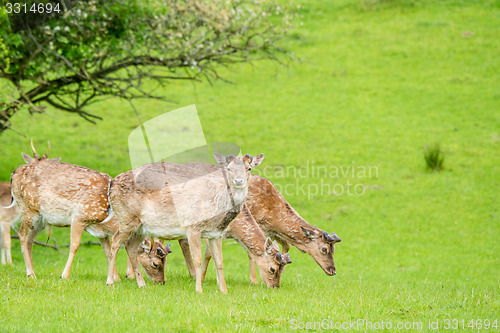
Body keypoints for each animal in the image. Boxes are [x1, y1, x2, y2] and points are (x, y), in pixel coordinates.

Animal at [9, 140, 170, 280]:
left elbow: (108, 252)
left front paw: (116, 279)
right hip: (27, 208)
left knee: (30, 239)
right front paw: (64, 275)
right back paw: (31, 274)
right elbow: (74, 246)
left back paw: (31, 272)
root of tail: (14, 173)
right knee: (22, 234)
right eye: (155, 263)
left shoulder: (101, 232)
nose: (161, 281)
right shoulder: (80, 216)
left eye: (166, 262)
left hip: (41, 219)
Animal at [106, 152, 266, 292]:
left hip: (141, 227)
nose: (238, 180)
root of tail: (112, 184)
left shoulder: (215, 233)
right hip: (126, 218)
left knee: (130, 246)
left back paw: (141, 284)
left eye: (249, 168)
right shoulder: (193, 227)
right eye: (229, 168)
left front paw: (224, 291)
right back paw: (111, 282)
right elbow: (198, 259)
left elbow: (219, 261)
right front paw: (199, 289)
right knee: (114, 242)